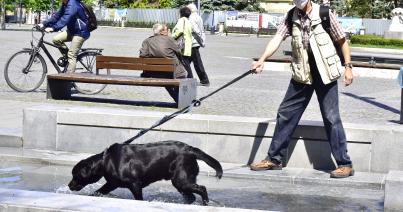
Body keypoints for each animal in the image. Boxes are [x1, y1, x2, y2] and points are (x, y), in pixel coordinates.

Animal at [68, 140, 223, 205]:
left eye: (75, 175)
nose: (69, 185)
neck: (106, 160)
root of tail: (190, 149)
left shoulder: (135, 184)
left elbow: (139, 198)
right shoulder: (111, 183)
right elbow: (98, 192)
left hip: (181, 180)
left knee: (202, 189)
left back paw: (205, 203)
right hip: (181, 182)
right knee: (190, 196)